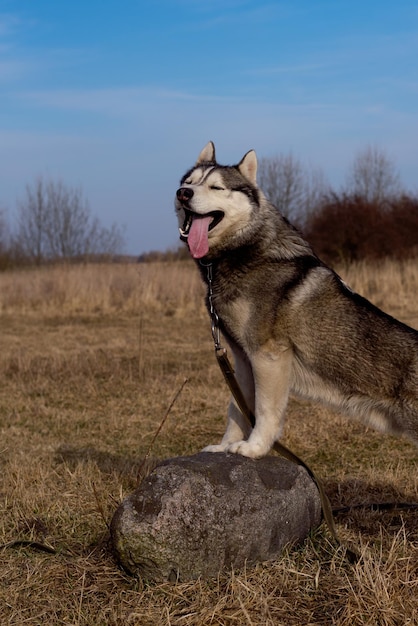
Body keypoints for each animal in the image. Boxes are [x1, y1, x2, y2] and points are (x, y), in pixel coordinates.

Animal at [174, 143, 418, 458]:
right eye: (188, 182)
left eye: (216, 187)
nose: (183, 193)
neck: (245, 252)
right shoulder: (243, 361)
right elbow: (236, 410)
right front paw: (225, 445)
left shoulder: (268, 357)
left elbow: (265, 411)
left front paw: (254, 448)